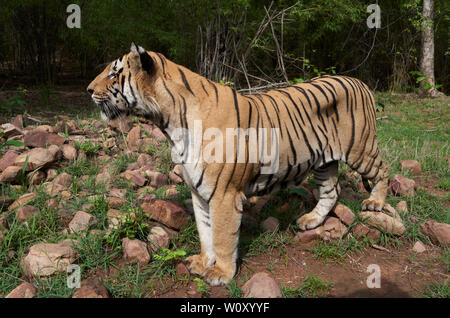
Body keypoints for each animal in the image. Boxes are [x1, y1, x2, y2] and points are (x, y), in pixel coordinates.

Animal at [88, 42, 390, 286]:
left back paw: (374, 203)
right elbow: (205, 231)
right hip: (324, 161)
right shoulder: (199, 191)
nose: (89, 90)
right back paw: (310, 221)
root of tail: (359, 81)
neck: (170, 124)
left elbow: (222, 236)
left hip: (360, 149)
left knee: (382, 170)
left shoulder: (224, 193)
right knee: (331, 192)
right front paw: (202, 262)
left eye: (114, 73)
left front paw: (221, 273)